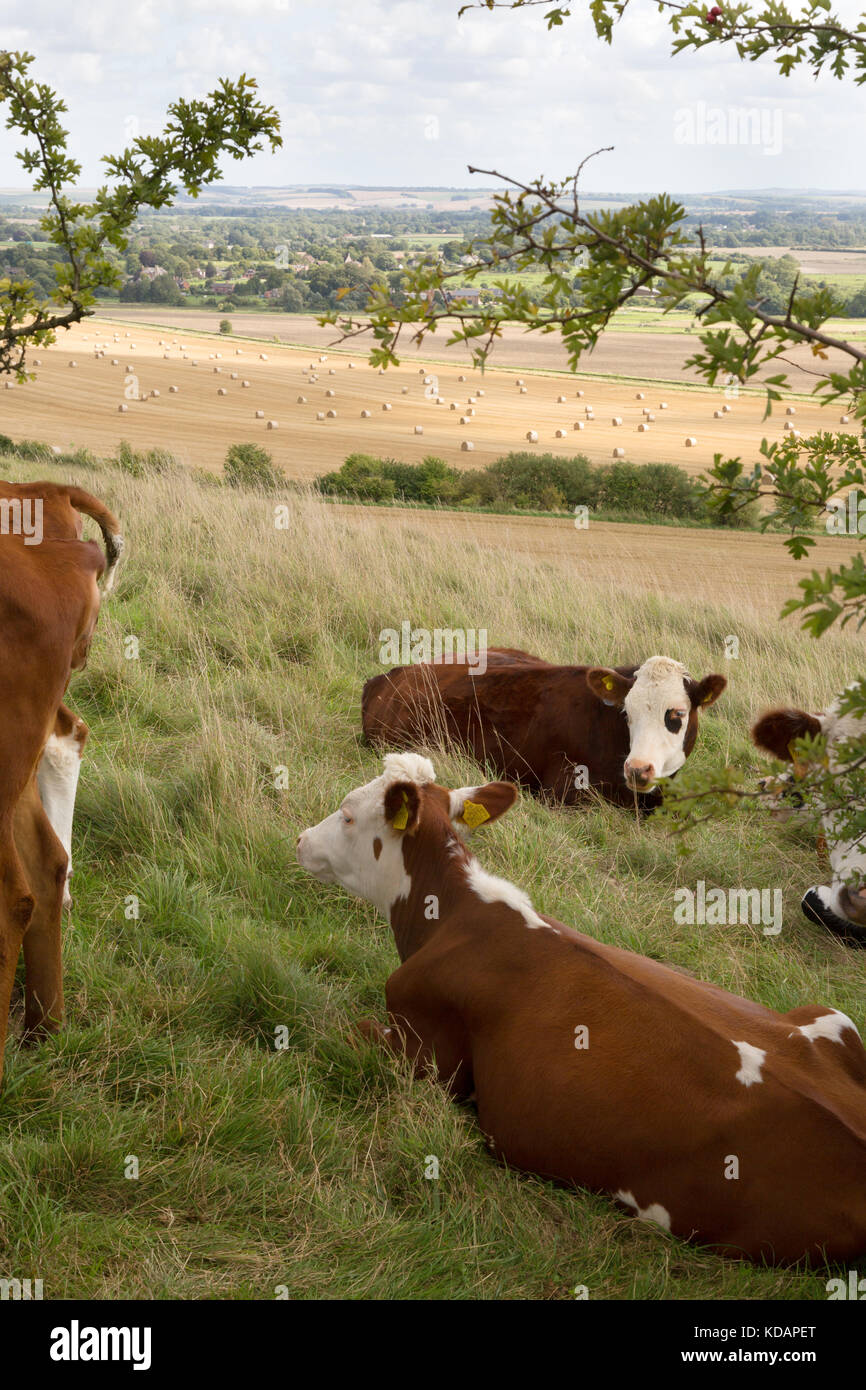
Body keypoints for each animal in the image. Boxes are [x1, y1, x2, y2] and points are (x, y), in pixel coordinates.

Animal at [298, 752, 866, 1265]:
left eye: (347, 814)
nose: (301, 839)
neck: (451, 914)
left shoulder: (421, 1056)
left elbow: (340, 1029)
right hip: (833, 1016)